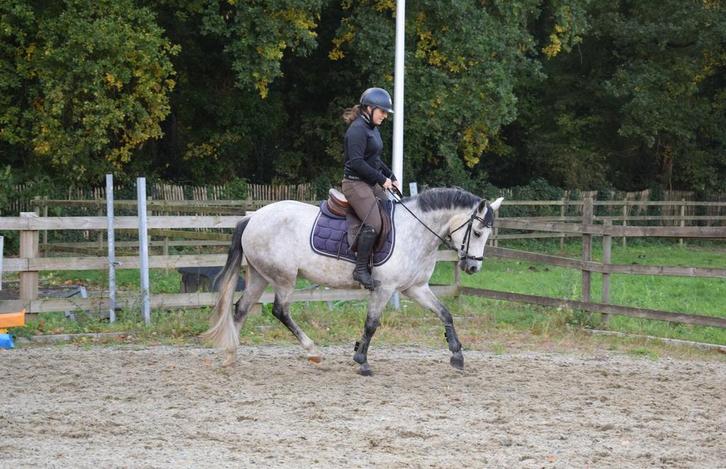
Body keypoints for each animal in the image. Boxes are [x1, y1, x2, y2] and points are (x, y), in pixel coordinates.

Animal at [202, 187, 504, 375]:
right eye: (477, 232)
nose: (473, 267)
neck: (416, 230)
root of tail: (253, 217)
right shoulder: (384, 288)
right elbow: (371, 324)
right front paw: (362, 360)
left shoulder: (415, 288)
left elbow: (445, 313)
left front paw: (457, 355)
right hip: (284, 278)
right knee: (281, 311)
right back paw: (312, 351)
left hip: (259, 276)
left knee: (241, 308)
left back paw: (230, 355)